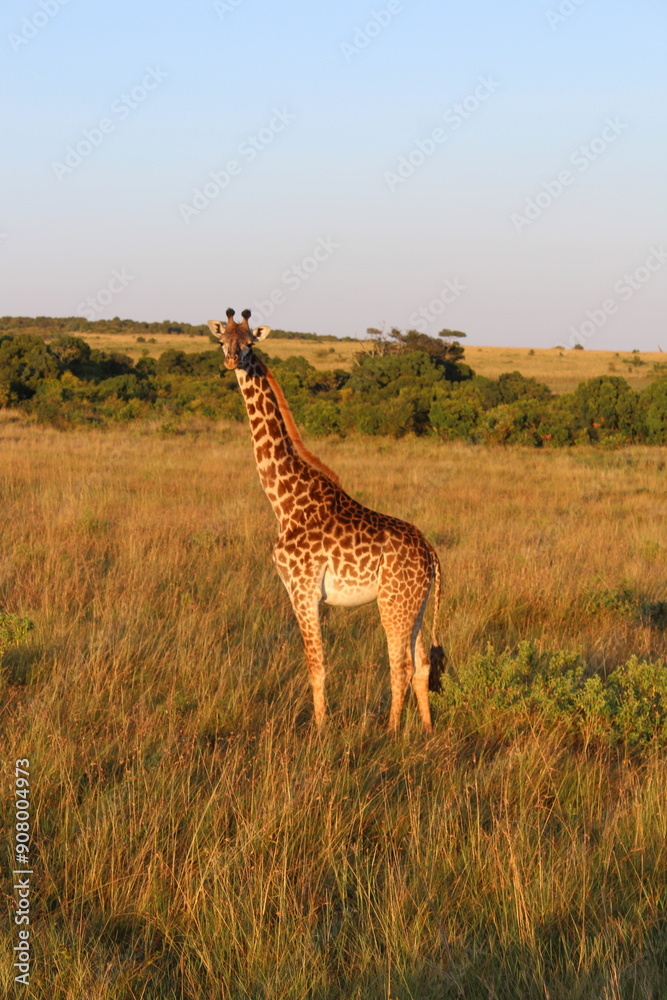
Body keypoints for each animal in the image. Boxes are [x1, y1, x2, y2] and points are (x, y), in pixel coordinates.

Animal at [209, 308, 443, 733]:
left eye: (249, 343)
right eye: (222, 341)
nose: (233, 361)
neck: (284, 500)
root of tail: (432, 554)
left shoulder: (303, 590)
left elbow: (316, 665)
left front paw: (319, 730)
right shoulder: (297, 591)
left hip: (393, 603)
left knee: (400, 665)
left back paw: (391, 733)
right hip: (415, 605)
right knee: (421, 665)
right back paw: (428, 731)